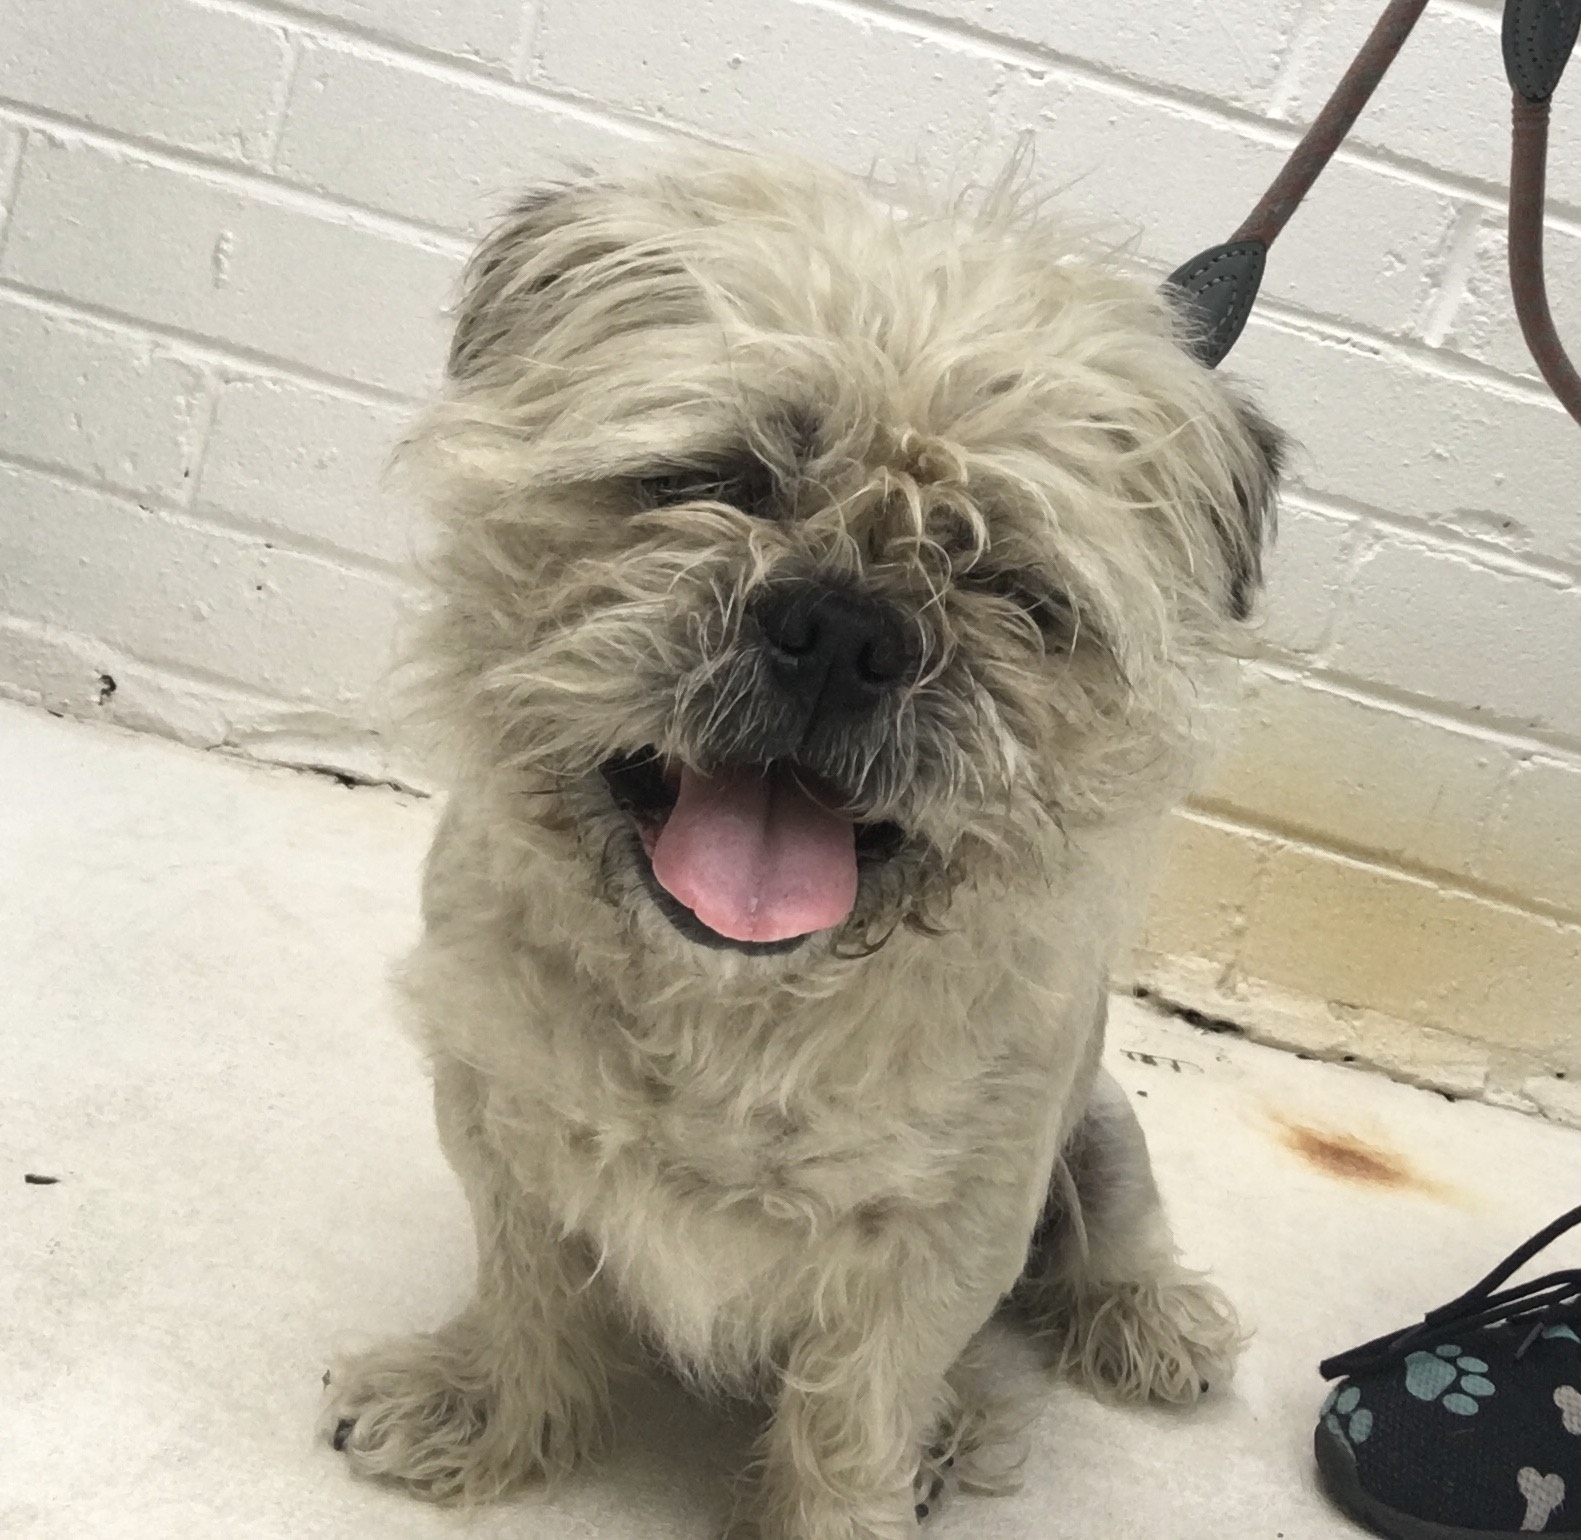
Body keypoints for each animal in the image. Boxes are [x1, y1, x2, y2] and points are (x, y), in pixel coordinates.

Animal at [322, 152, 1280, 1539]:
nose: (843, 627)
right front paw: (488, 1412)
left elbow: (854, 1422)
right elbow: (526, 1296)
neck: (732, 1000)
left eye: (1007, 583)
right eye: (716, 480)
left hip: (1102, 1132)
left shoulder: (935, 1247)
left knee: (1117, 1236)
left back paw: (1140, 1323)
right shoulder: (503, 1125)